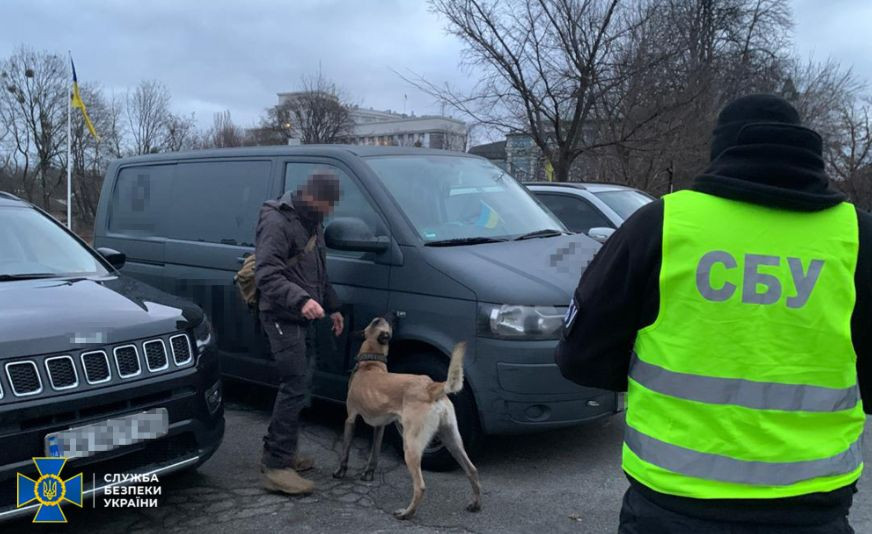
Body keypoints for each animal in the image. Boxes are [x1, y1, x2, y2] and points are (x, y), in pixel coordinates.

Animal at [334, 316, 484, 520]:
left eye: (376, 321)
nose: (392, 315)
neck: (371, 364)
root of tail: (431, 387)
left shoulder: (350, 419)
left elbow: (346, 450)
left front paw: (340, 471)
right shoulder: (380, 426)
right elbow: (374, 454)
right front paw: (368, 473)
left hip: (411, 446)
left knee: (420, 486)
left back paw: (406, 513)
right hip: (452, 440)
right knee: (472, 470)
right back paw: (475, 503)